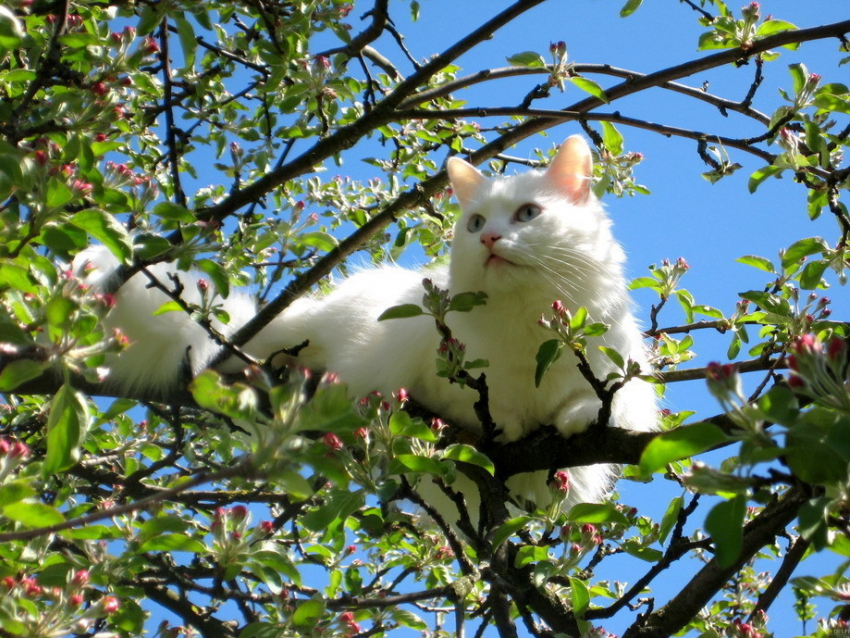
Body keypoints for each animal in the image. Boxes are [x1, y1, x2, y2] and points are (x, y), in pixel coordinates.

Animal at [74, 138, 656, 524]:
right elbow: (479, 408)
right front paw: (509, 424)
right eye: (474, 224)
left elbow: (598, 402)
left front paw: (575, 417)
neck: (525, 325)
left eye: (527, 214)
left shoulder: (623, 382)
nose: (489, 238)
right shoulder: (439, 373)